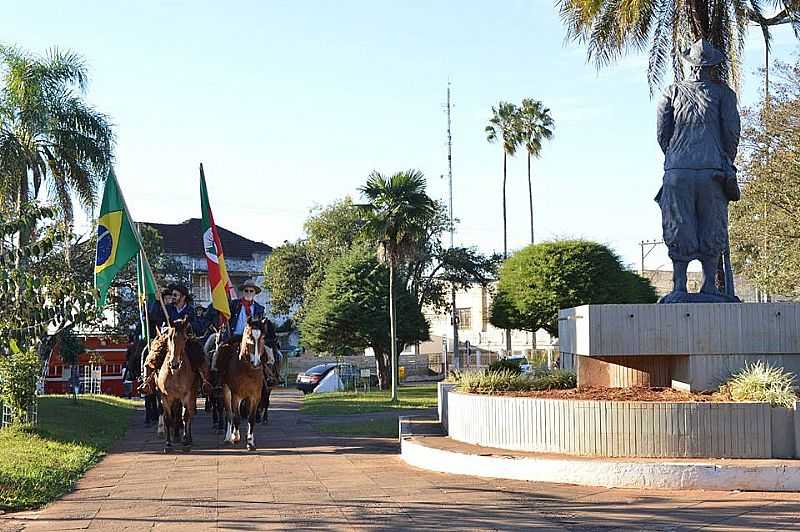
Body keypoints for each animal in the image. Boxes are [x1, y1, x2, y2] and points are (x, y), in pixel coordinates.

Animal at [155, 320, 197, 454]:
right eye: (170, 337)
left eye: (184, 338)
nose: (174, 364)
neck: (175, 373)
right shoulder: (165, 397)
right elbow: (168, 418)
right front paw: (168, 444)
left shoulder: (187, 395)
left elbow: (185, 417)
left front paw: (185, 442)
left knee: (189, 414)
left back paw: (188, 438)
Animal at [217, 318, 268, 450]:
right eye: (249, 337)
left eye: (263, 338)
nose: (256, 362)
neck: (248, 370)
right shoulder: (236, 396)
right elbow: (235, 417)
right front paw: (235, 437)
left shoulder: (255, 397)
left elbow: (251, 418)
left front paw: (250, 442)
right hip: (226, 391)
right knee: (230, 414)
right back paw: (229, 437)